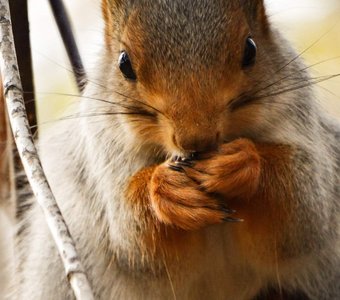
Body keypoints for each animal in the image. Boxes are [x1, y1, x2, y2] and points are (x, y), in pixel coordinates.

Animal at [9, 0, 338, 300]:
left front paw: (241, 163)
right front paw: (165, 189)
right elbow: (136, 243)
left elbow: (303, 213)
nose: (195, 139)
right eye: (124, 63)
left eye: (251, 49)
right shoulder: (105, 156)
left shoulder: (302, 128)